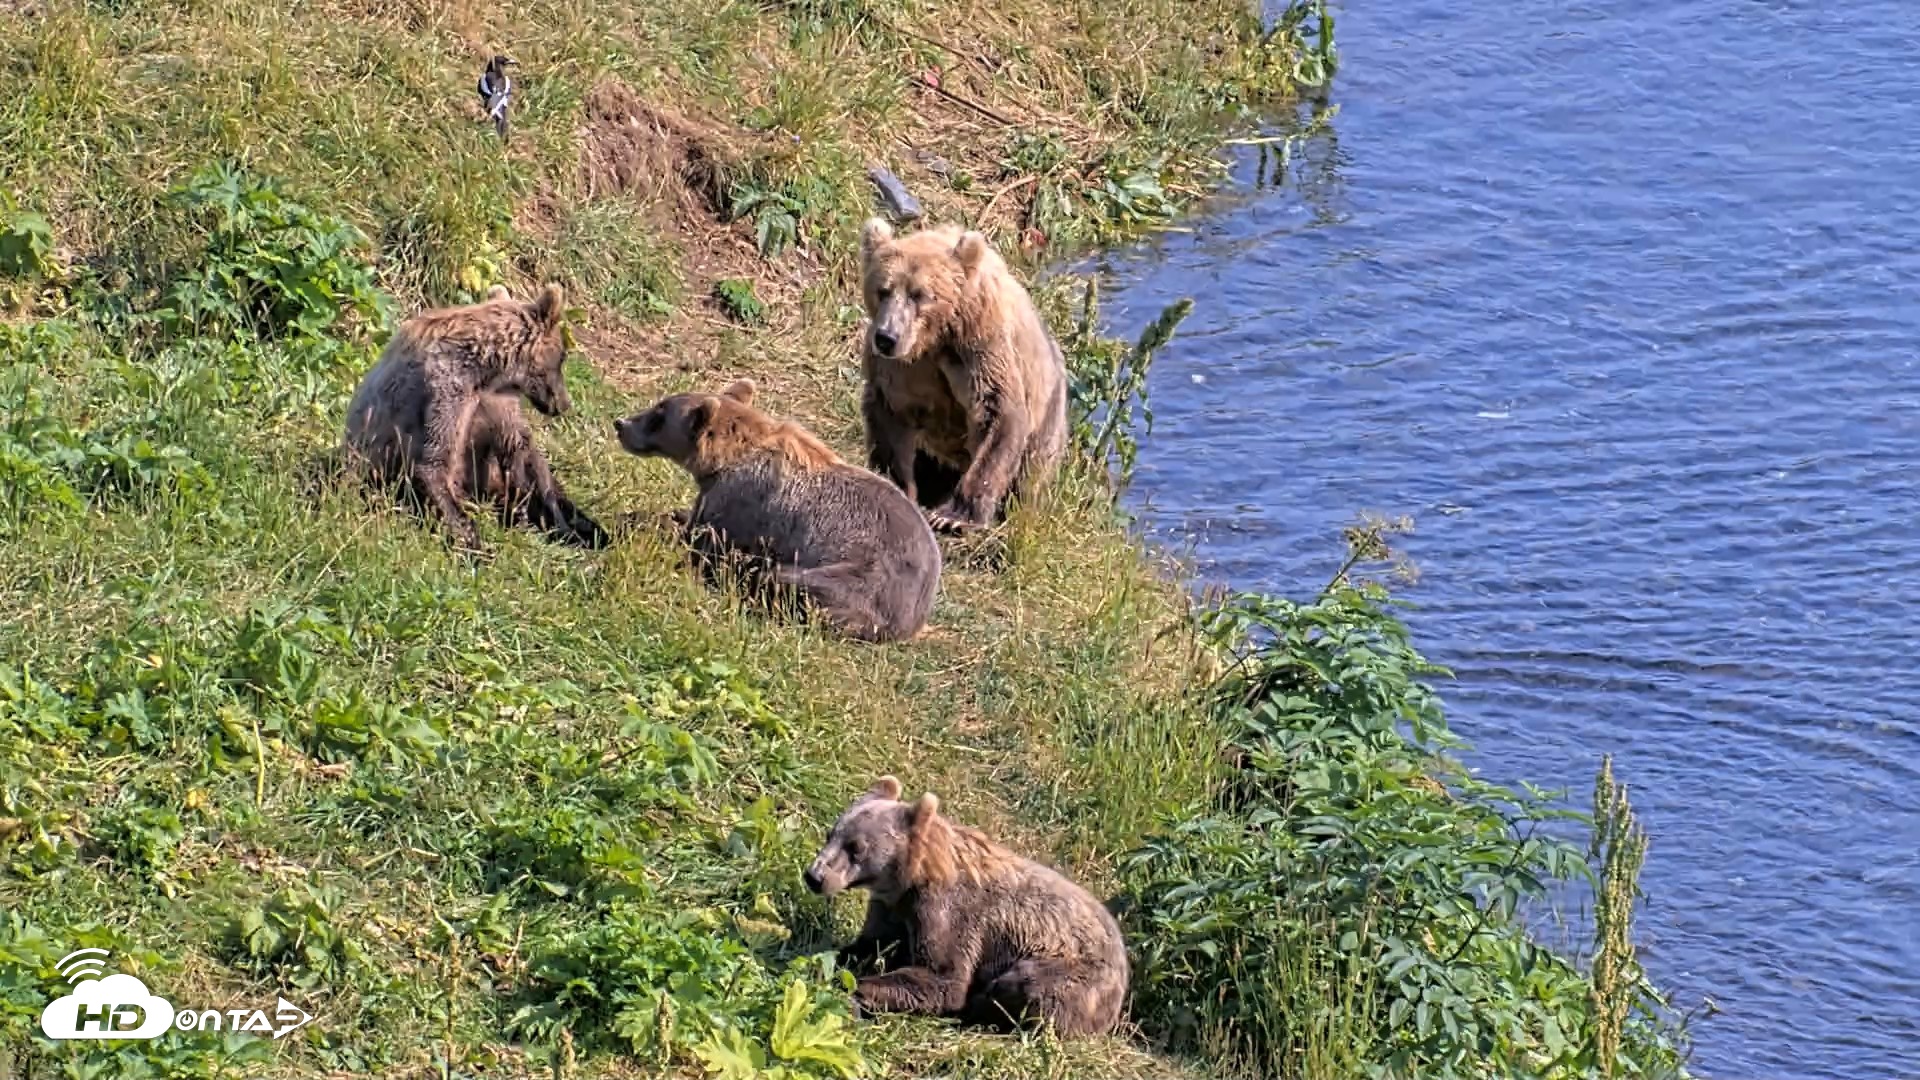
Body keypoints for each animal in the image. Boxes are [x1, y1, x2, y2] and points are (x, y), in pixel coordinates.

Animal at [342, 283, 607, 552]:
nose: (564, 404)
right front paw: (473, 541)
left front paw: (556, 522)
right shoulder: (445, 394)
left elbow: (522, 453)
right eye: (563, 356)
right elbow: (432, 464)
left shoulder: (494, 404)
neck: (483, 369)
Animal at [614, 380, 940, 644]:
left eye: (658, 416)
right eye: (658, 406)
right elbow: (690, 519)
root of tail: (912, 621)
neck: (725, 460)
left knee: (784, 582)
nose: (621, 423)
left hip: (861, 580)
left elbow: (704, 542)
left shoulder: (742, 501)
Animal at [804, 776, 1130, 1037]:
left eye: (857, 847)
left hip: (1072, 971)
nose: (815, 876)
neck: (911, 878)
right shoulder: (891, 908)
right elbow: (869, 944)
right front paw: (821, 961)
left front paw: (857, 991)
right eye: (831, 833)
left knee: (1026, 988)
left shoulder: (949, 913)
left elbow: (943, 978)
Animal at [858, 218, 1069, 533]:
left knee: (1032, 471)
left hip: (1049, 410)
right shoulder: (901, 368)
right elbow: (891, 413)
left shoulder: (980, 343)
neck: (934, 338)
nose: (887, 337)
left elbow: (997, 411)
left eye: (918, 294)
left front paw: (954, 515)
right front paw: (899, 486)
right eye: (883, 290)